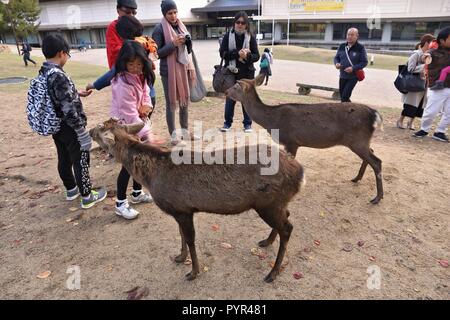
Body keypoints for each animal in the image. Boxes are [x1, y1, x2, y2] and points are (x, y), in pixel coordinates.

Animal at [89, 119, 304, 282]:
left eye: (100, 127)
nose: (89, 130)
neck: (152, 177)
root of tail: (300, 173)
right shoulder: (179, 210)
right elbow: (181, 235)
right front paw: (179, 257)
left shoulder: (183, 210)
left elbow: (190, 239)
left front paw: (193, 272)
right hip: (277, 203)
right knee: (287, 216)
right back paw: (267, 241)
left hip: (268, 203)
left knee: (288, 228)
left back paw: (272, 273)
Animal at [229, 74, 384, 204]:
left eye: (236, 86)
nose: (225, 91)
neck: (272, 121)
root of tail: (374, 115)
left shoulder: (291, 141)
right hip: (361, 140)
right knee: (371, 152)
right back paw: (357, 178)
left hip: (357, 140)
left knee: (377, 162)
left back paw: (377, 198)